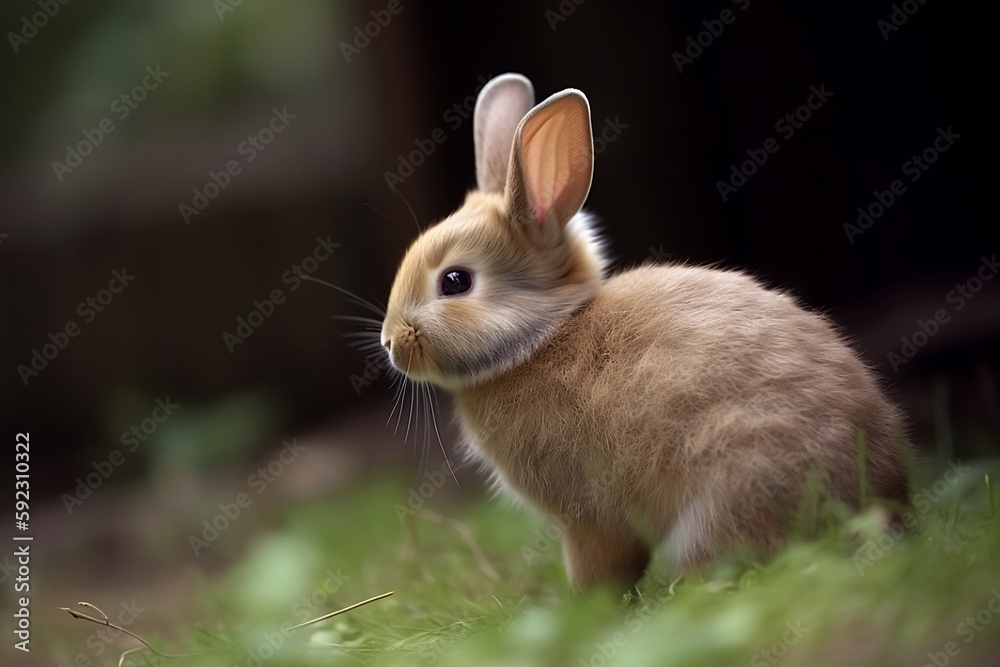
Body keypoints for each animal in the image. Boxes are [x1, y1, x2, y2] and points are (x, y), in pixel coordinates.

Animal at [380, 73, 911, 591]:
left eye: (455, 281)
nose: (390, 342)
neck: (541, 339)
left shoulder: (586, 518)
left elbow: (600, 563)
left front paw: (588, 604)